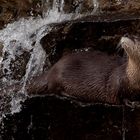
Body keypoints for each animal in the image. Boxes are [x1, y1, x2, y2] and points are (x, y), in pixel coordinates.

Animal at [1, 35, 140, 104]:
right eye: (128, 34)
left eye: (136, 38)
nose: (125, 36)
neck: (134, 77)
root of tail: (52, 69)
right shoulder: (117, 80)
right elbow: (119, 94)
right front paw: (130, 102)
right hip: (59, 76)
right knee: (54, 89)